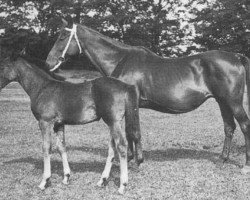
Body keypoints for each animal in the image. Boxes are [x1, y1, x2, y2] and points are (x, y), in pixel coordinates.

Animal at [0, 55, 142, 194]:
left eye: (3, 66)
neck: (42, 87)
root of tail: (126, 86)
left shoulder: (45, 122)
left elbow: (46, 148)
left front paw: (44, 181)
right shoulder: (59, 124)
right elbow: (61, 147)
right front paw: (66, 178)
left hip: (113, 122)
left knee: (121, 147)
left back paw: (122, 185)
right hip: (113, 123)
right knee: (112, 148)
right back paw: (102, 181)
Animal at [45, 20, 250, 173]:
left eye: (62, 37)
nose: (48, 62)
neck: (120, 59)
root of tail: (236, 57)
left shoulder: (132, 101)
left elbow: (133, 131)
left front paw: (136, 162)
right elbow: (129, 131)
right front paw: (129, 158)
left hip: (233, 102)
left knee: (244, 126)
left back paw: (245, 165)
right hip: (222, 101)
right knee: (229, 127)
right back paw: (222, 159)